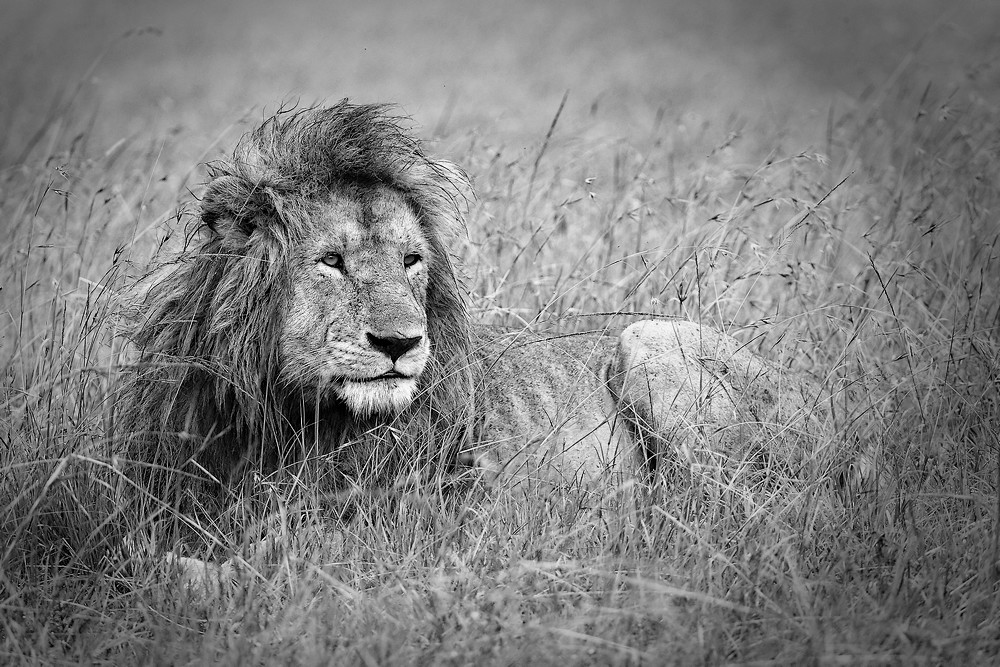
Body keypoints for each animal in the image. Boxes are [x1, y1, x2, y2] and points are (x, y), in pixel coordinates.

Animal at [118, 102, 835, 542]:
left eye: (412, 261)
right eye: (332, 262)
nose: (401, 342)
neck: (283, 413)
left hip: (649, 341)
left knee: (728, 507)